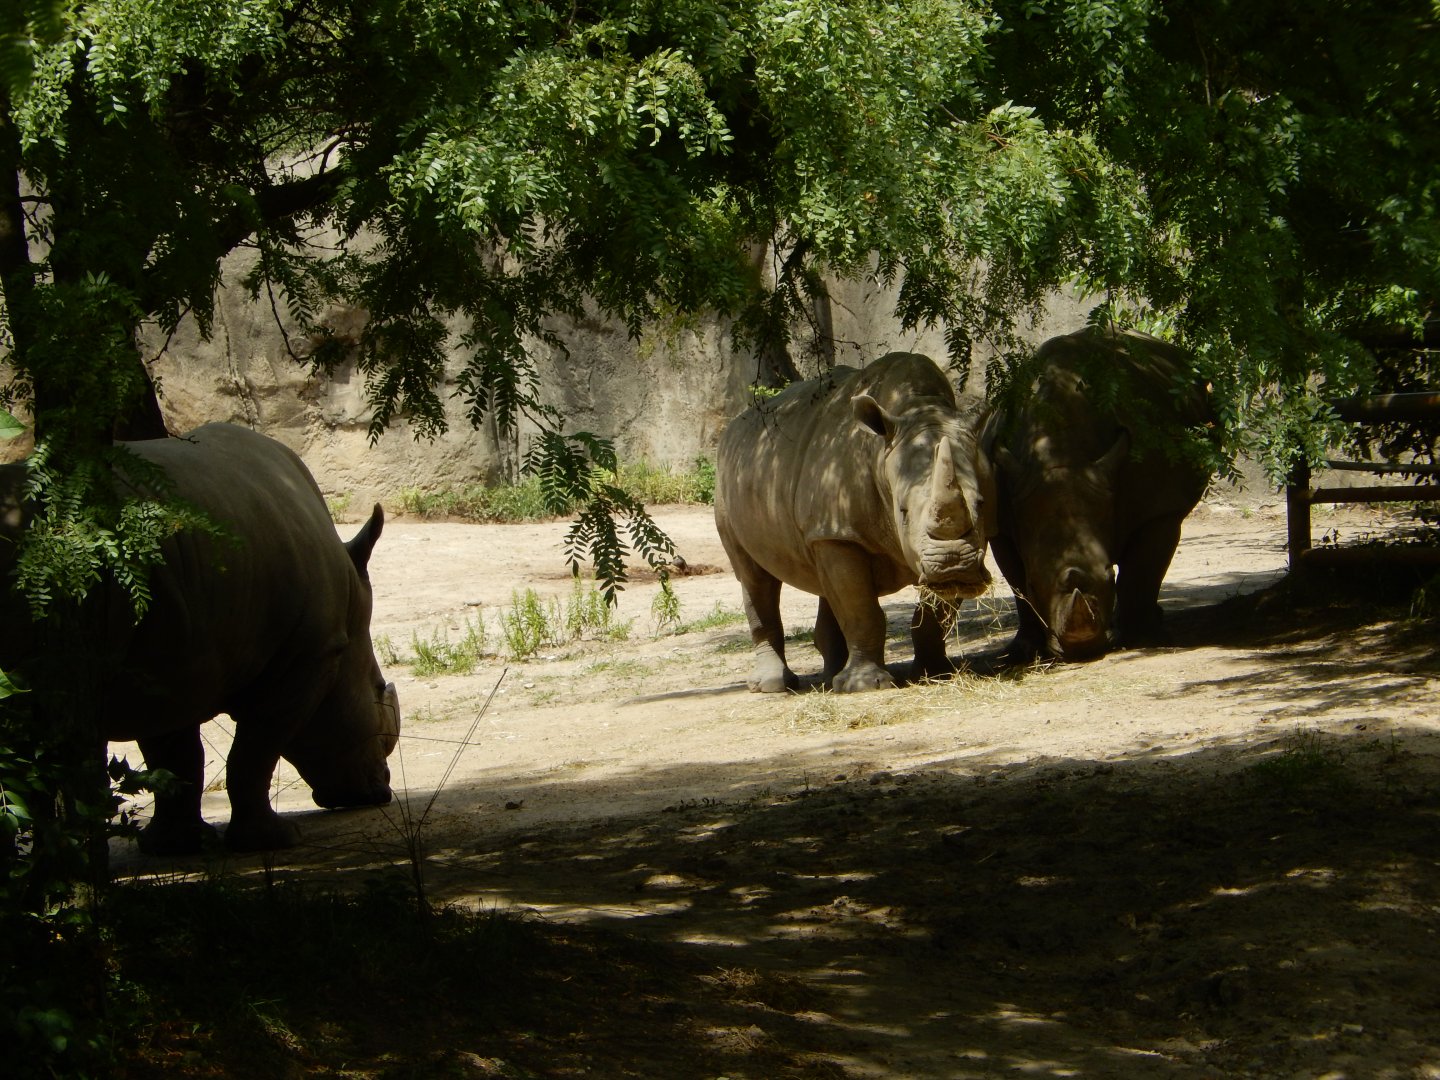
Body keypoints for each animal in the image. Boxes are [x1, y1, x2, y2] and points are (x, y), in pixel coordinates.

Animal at [0, 423, 400, 854]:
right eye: (378, 694)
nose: (381, 790)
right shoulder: (308, 655)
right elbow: (255, 749)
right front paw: (272, 841)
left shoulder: (167, 656)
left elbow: (175, 754)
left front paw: (175, 846)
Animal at [715, 353, 995, 693]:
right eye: (902, 511)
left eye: (980, 504)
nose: (953, 563)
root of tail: (732, 428)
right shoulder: (842, 534)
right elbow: (861, 610)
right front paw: (866, 686)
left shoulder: (961, 545)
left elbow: (935, 612)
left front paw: (937, 673)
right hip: (727, 486)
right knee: (755, 577)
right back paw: (776, 686)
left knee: (822, 577)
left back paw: (831, 678)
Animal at [981, 327, 1216, 662]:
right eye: (1034, 583)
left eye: (1108, 577)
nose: (1082, 650)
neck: (1061, 457)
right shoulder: (1003, 517)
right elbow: (1016, 584)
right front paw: (1024, 650)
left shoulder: (1159, 507)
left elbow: (1141, 573)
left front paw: (1143, 638)